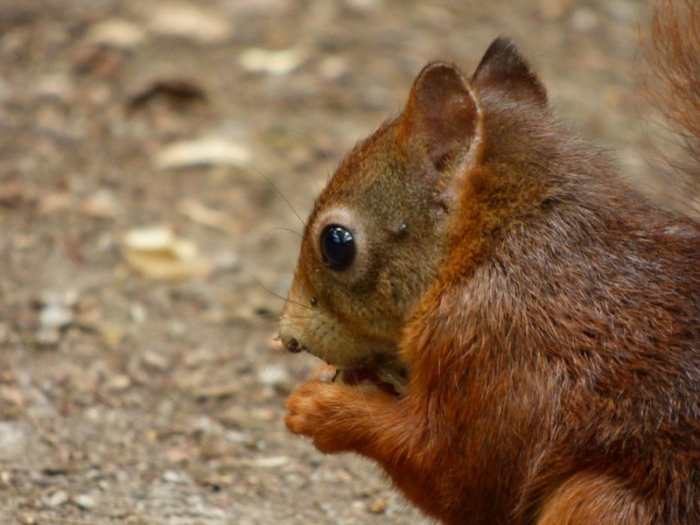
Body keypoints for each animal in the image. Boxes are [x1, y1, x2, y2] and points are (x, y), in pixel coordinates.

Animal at [279, 1, 700, 523]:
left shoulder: (493, 347)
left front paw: (319, 407)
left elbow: (453, 472)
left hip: (602, 502)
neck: (495, 244)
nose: (288, 336)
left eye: (336, 244)